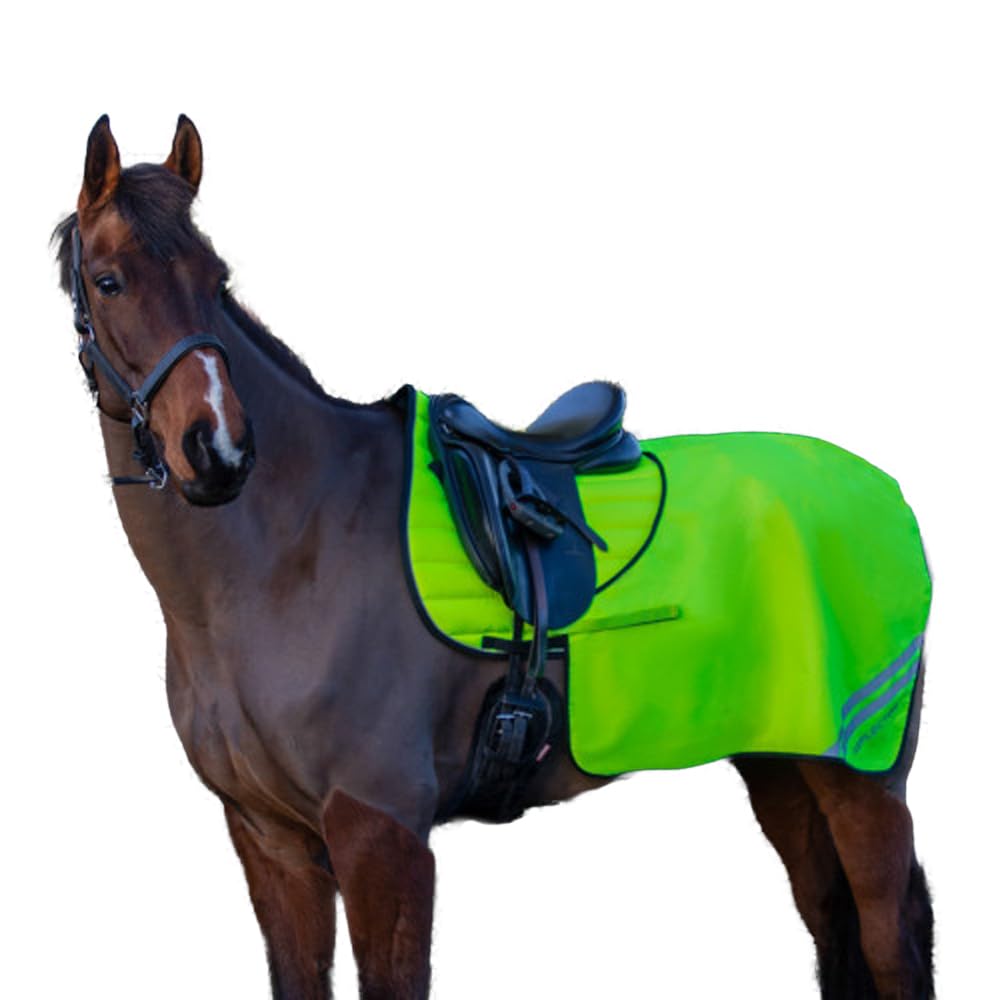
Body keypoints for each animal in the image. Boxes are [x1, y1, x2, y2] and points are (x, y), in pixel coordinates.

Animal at [55, 114, 935, 999]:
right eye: (108, 280)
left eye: (216, 277)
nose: (218, 451)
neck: (286, 554)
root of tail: (883, 489)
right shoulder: (269, 840)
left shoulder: (381, 833)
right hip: (780, 762)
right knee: (831, 920)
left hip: (862, 780)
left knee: (890, 935)